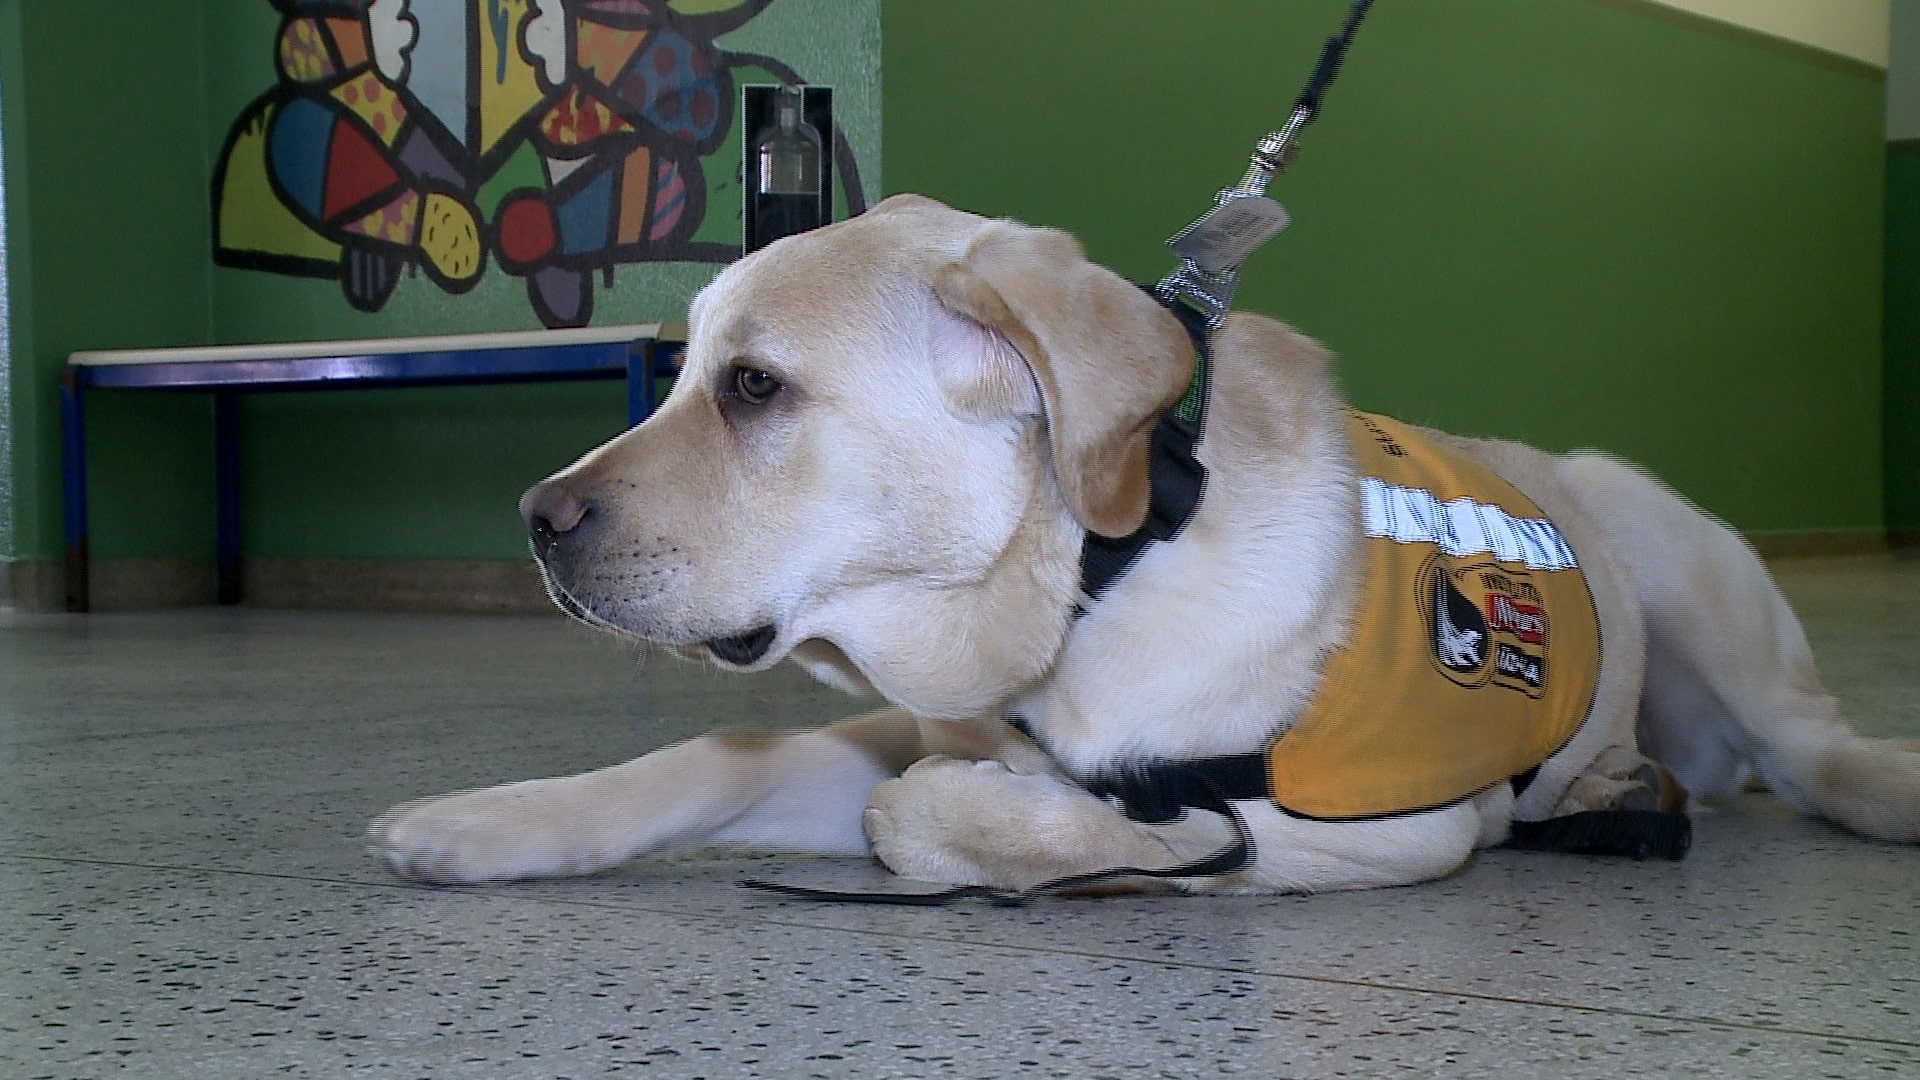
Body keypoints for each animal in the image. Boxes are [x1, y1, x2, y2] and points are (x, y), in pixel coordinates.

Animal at [370, 193, 1920, 891]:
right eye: (690, 368)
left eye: (754, 387)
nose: (534, 523)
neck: (1092, 592)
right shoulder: (897, 728)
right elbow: (716, 757)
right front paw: (486, 822)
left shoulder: (1391, 826)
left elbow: (953, 815)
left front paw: (1033, 828)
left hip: (1673, 560)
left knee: (1817, 752)